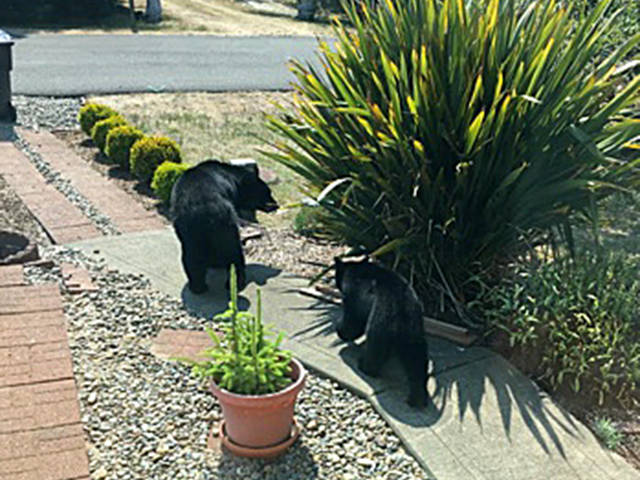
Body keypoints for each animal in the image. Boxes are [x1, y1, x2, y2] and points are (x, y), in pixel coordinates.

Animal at [170, 160, 278, 292]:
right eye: (268, 192)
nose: (276, 205)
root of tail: (204, 210)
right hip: (226, 225)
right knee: (234, 252)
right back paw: (236, 283)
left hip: (190, 233)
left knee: (191, 258)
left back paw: (197, 286)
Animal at [336, 256, 430, 406]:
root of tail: (402, 308)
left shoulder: (354, 299)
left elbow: (352, 321)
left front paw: (341, 332)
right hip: (414, 330)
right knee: (416, 358)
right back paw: (418, 397)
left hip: (380, 323)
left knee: (375, 349)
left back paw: (365, 366)